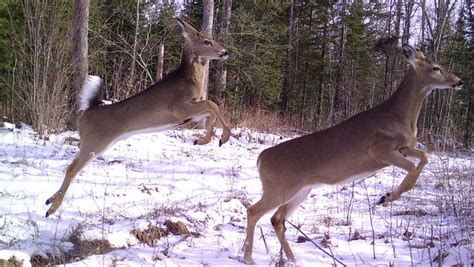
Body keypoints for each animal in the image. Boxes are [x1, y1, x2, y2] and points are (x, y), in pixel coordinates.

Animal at [45, 18, 231, 218]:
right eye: (207, 41)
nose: (225, 52)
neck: (191, 79)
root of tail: (88, 110)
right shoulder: (178, 108)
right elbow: (212, 104)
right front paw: (223, 137)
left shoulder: (190, 114)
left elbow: (210, 110)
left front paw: (203, 140)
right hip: (95, 142)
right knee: (72, 169)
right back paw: (51, 209)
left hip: (97, 143)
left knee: (71, 165)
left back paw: (49, 200)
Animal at [243, 45, 464, 264]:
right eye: (436, 68)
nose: (459, 81)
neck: (401, 117)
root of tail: (261, 158)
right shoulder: (379, 148)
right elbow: (412, 169)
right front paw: (386, 197)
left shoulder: (404, 147)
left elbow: (424, 158)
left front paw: (387, 197)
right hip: (279, 187)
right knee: (254, 210)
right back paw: (248, 258)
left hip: (301, 190)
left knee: (276, 218)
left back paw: (292, 259)